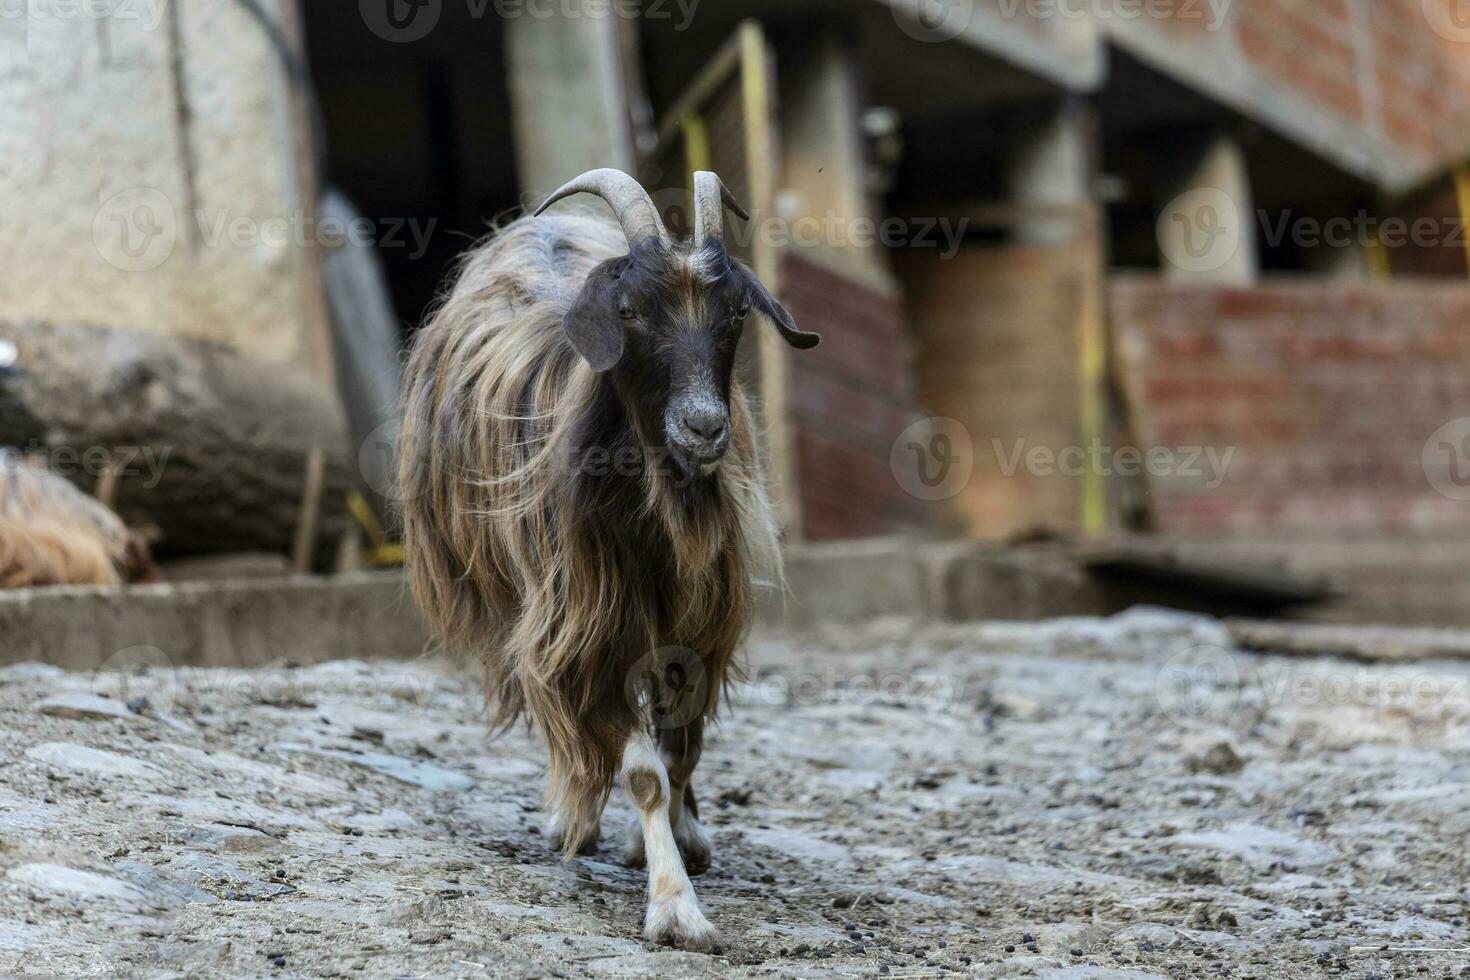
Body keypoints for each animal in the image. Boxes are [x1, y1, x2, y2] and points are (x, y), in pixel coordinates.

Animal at [396, 170, 823, 952]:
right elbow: (641, 769)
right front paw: (676, 909)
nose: (704, 427)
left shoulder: (699, 626)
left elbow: (680, 753)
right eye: (629, 311)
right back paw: (574, 815)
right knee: (555, 711)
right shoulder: (585, 624)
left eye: (735, 312)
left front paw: (680, 842)